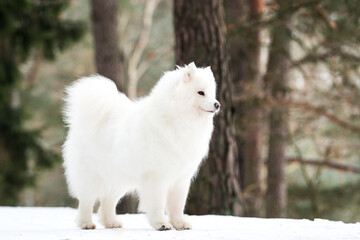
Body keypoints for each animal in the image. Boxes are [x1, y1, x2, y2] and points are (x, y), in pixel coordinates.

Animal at [62, 62, 219, 231]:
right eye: (201, 93)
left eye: (212, 93)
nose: (217, 104)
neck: (178, 119)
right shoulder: (156, 177)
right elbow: (157, 204)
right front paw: (161, 224)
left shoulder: (181, 179)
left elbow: (177, 206)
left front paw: (180, 223)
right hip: (92, 176)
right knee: (87, 201)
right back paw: (86, 223)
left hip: (119, 179)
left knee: (107, 201)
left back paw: (111, 223)